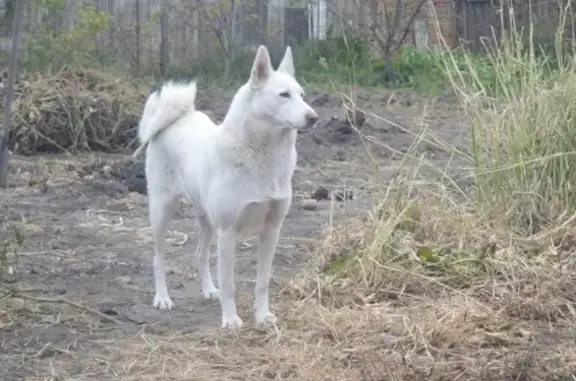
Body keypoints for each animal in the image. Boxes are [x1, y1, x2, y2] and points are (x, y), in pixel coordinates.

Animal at [134, 45, 320, 330]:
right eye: (283, 95)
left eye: (301, 95)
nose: (314, 118)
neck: (263, 158)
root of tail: (177, 118)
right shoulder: (228, 231)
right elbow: (230, 283)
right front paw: (231, 320)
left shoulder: (272, 229)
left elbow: (262, 281)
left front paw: (263, 316)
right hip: (162, 212)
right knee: (158, 258)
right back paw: (163, 298)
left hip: (207, 221)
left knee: (200, 253)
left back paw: (209, 290)